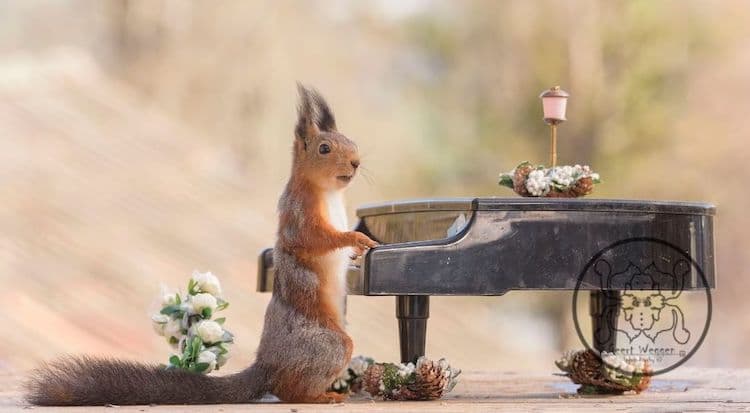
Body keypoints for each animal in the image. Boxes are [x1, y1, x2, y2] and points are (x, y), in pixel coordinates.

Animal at [25, 84, 378, 406]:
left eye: (352, 142)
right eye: (324, 148)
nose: (357, 162)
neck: (328, 192)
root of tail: (267, 365)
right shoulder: (300, 216)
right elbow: (316, 239)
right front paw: (357, 240)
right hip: (329, 346)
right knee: (290, 390)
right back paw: (323, 396)